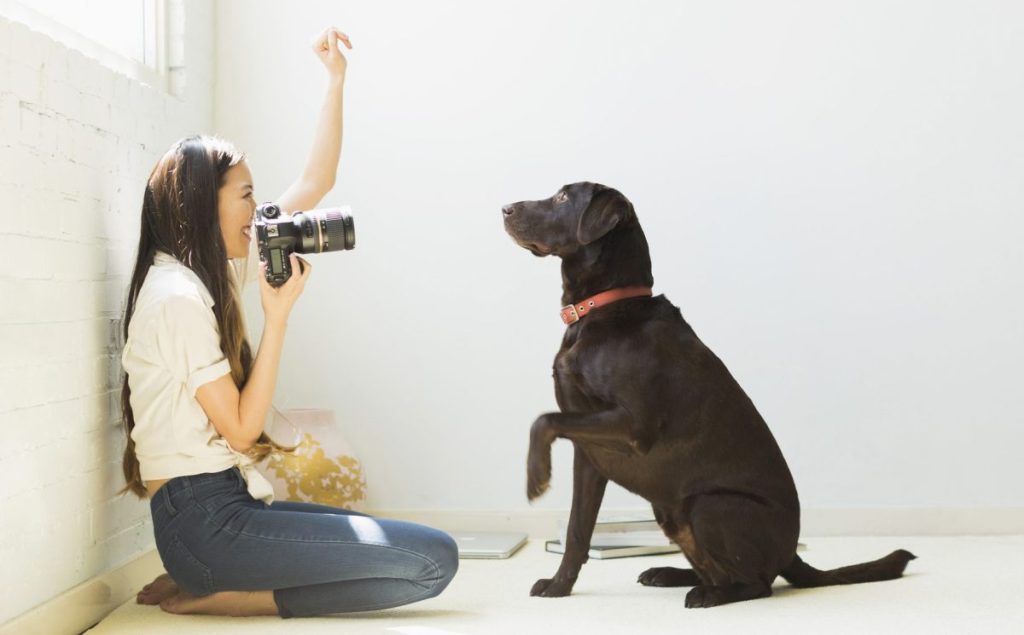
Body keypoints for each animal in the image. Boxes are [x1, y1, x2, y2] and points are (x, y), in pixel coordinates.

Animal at [499, 182, 917, 606]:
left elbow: (544, 420)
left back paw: (706, 595)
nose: (505, 209)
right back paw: (670, 574)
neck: (607, 307)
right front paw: (559, 587)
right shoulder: (589, 454)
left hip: (708, 505)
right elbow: (576, 529)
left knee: (758, 584)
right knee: (720, 571)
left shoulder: (633, 426)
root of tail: (791, 554)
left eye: (563, 197)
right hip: (669, 510)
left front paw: (536, 477)